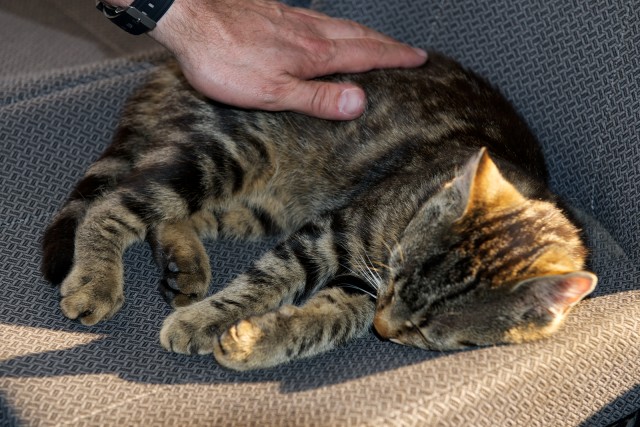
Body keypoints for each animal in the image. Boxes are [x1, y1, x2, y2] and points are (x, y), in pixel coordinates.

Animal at [42, 51, 596, 372]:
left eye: (427, 330)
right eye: (398, 270)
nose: (385, 330)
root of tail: (167, 70)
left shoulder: (358, 284)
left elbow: (324, 321)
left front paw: (253, 342)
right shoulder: (334, 234)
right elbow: (263, 282)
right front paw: (205, 322)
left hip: (260, 204)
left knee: (172, 216)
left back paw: (185, 265)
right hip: (227, 153)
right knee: (115, 202)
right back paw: (95, 282)